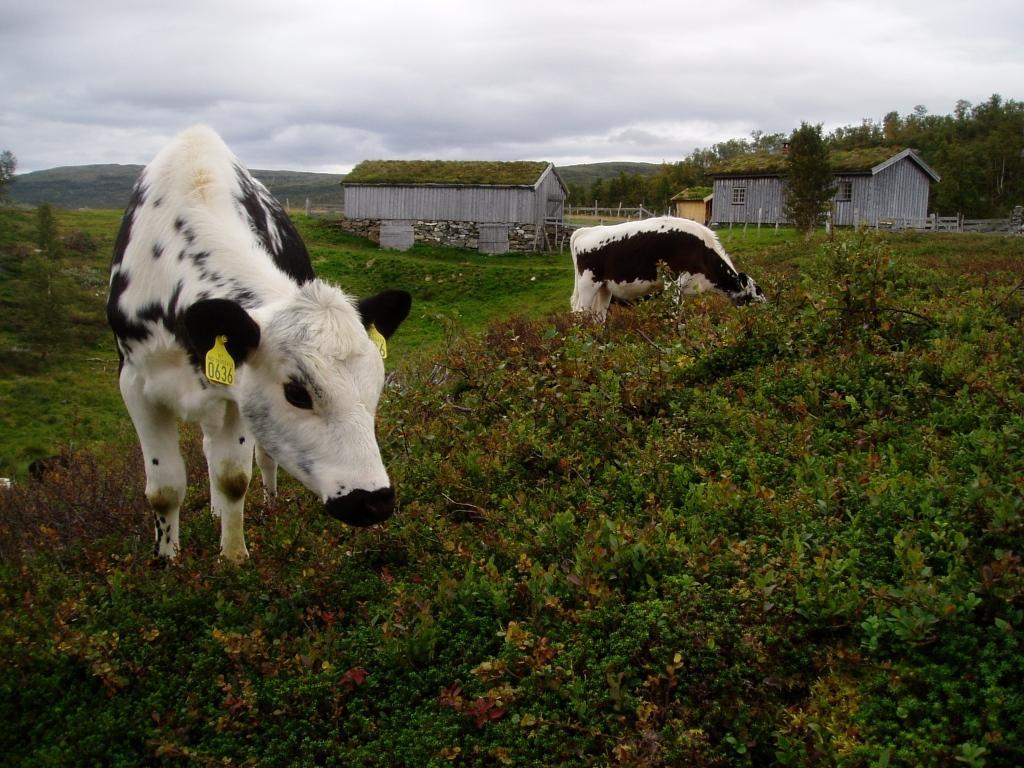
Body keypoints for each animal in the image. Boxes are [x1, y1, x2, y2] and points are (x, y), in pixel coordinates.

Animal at [111, 124, 411, 561]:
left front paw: (233, 557)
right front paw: (167, 559)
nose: (374, 500)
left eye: (376, 387)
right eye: (297, 393)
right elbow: (164, 489)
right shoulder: (134, 383)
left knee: (255, 456)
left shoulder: (237, 393)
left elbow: (233, 476)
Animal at [573, 217, 765, 321]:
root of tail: (585, 231)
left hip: (604, 288)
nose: (767, 315)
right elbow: (675, 314)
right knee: (579, 314)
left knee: (598, 317)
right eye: (756, 298)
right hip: (587, 285)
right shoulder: (673, 282)